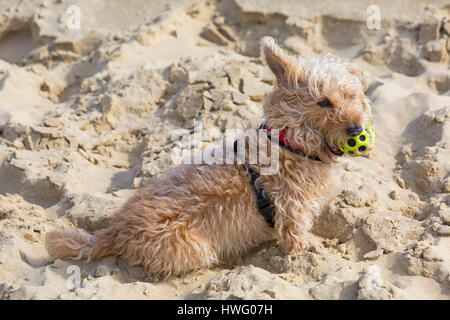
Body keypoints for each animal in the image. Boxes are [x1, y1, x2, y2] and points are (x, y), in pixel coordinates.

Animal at [45, 37, 372, 276]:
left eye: (350, 96)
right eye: (323, 102)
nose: (357, 129)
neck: (290, 139)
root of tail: (114, 231)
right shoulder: (293, 211)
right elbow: (296, 242)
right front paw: (309, 253)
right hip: (198, 250)